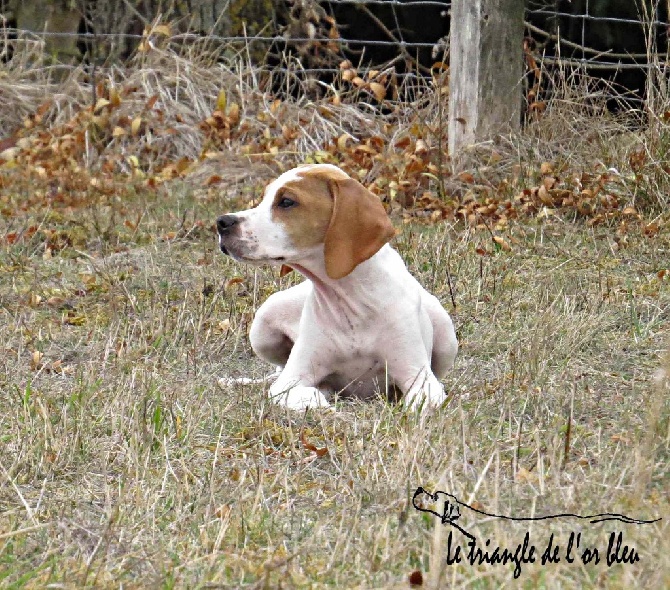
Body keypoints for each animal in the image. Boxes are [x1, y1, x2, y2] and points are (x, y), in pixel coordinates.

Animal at [218, 163, 460, 412]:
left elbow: (422, 401)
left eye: (286, 202)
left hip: (446, 335)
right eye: (264, 198)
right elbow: (304, 393)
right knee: (275, 372)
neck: (349, 299)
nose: (222, 222)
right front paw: (322, 404)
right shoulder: (290, 381)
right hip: (265, 322)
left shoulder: (420, 378)